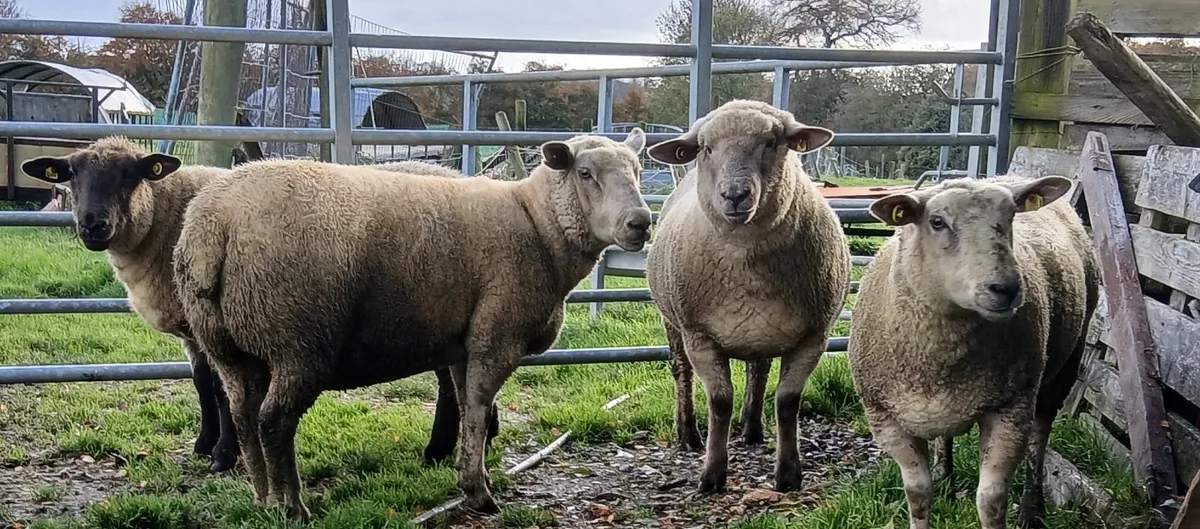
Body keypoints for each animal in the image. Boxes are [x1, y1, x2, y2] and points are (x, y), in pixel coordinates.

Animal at [19, 141, 491, 475]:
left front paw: (223, 454)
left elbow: (221, 391)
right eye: (72, 176)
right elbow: (202, 386)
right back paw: (467, 442)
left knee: (451, 381)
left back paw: (445, 448)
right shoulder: (194, 331)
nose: (92, 225)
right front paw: (204, 443)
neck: (165, 217)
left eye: (130, 176)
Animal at [172, 129, 653, 518]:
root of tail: (210, 228)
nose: (641, 223)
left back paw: (263, 499)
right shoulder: (497, 336)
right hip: (297, 341)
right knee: (274, 423)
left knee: (245, 417)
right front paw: (479, 493)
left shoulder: (465, 344)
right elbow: (478, 410)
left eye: (637, 170)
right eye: (585, 172)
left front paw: (470, 477)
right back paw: (292, 507)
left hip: (232, 347)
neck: (537, 223)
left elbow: (467, 407)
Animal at [644, 100, 851, 494]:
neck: (746, 263)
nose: (735, 195)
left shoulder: (813, 337)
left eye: (772, 142)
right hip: (671, 320)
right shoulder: (700, 336)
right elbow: (720, 401)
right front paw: (712, 474)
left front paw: (788, 474)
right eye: (706, 148)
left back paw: (752, 430)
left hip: (763, 332)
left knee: (759, 370)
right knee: (681, 371)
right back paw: (688, 434)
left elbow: (787, 402)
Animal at [847, 175, 1099, 529]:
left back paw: (1032, 510)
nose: (1006, 288)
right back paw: (946, 479)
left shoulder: (1010, 408)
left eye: (1011, 216)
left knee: (1040, 437)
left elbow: (991, 500)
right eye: (937, 221)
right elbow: (918, 494)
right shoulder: (885, 417)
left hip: (1066, 363)